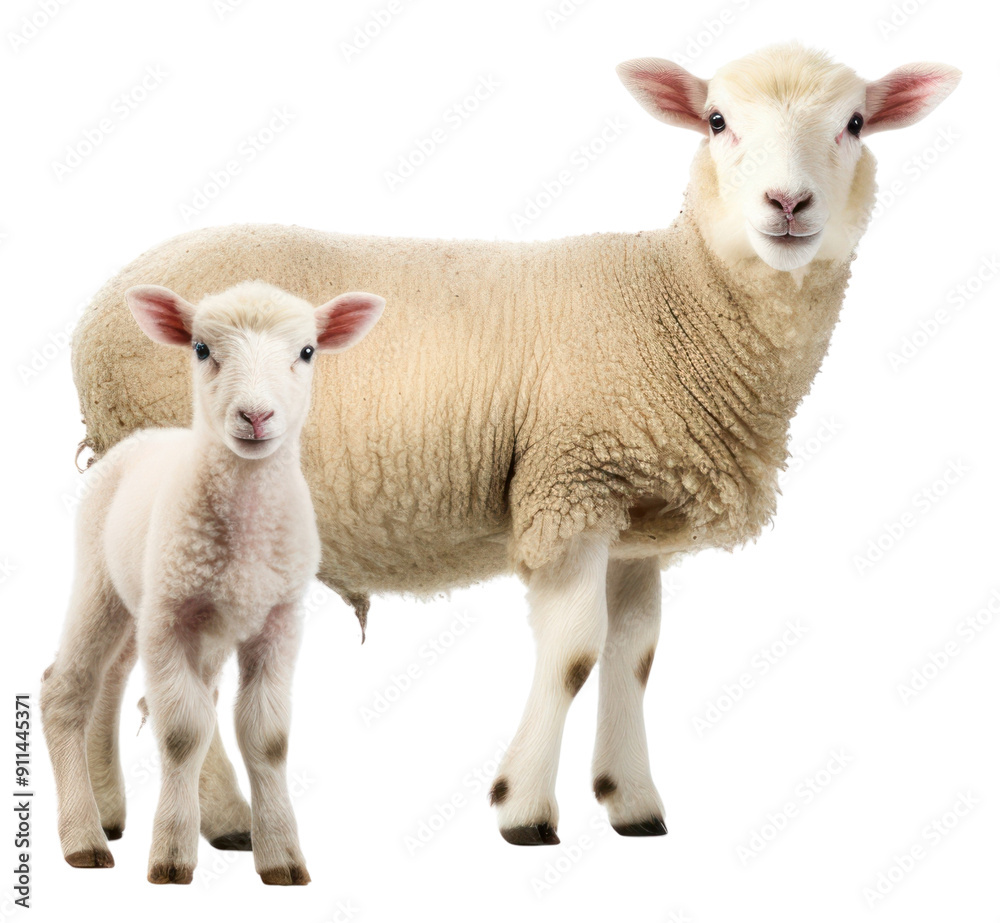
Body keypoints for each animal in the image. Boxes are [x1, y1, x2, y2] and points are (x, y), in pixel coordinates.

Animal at [41, 281, 385, 882]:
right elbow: (183, 733)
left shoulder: (277, 622)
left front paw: (281, 856)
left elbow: (266, 738)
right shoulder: (171, 617)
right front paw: (171, 856)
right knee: (66, 690)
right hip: (102, 580)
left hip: (173, 613)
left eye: (307, 352)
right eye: (201, 349)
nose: (256, 415)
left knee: (118, 684)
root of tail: (143, 437)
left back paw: (128, 812)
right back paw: (84, 837)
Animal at [67, 44, 959, 845]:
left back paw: (111, 812)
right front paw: (523, 807)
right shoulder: (571, 482)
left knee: (119, 656)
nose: (788, 202)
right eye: (717, 121)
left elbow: (634, 652)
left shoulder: (633, 518)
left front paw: (631, 801)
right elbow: (575, 652)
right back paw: (219, 820)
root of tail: (102, 307)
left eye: (854, 123)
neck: (680, 300)